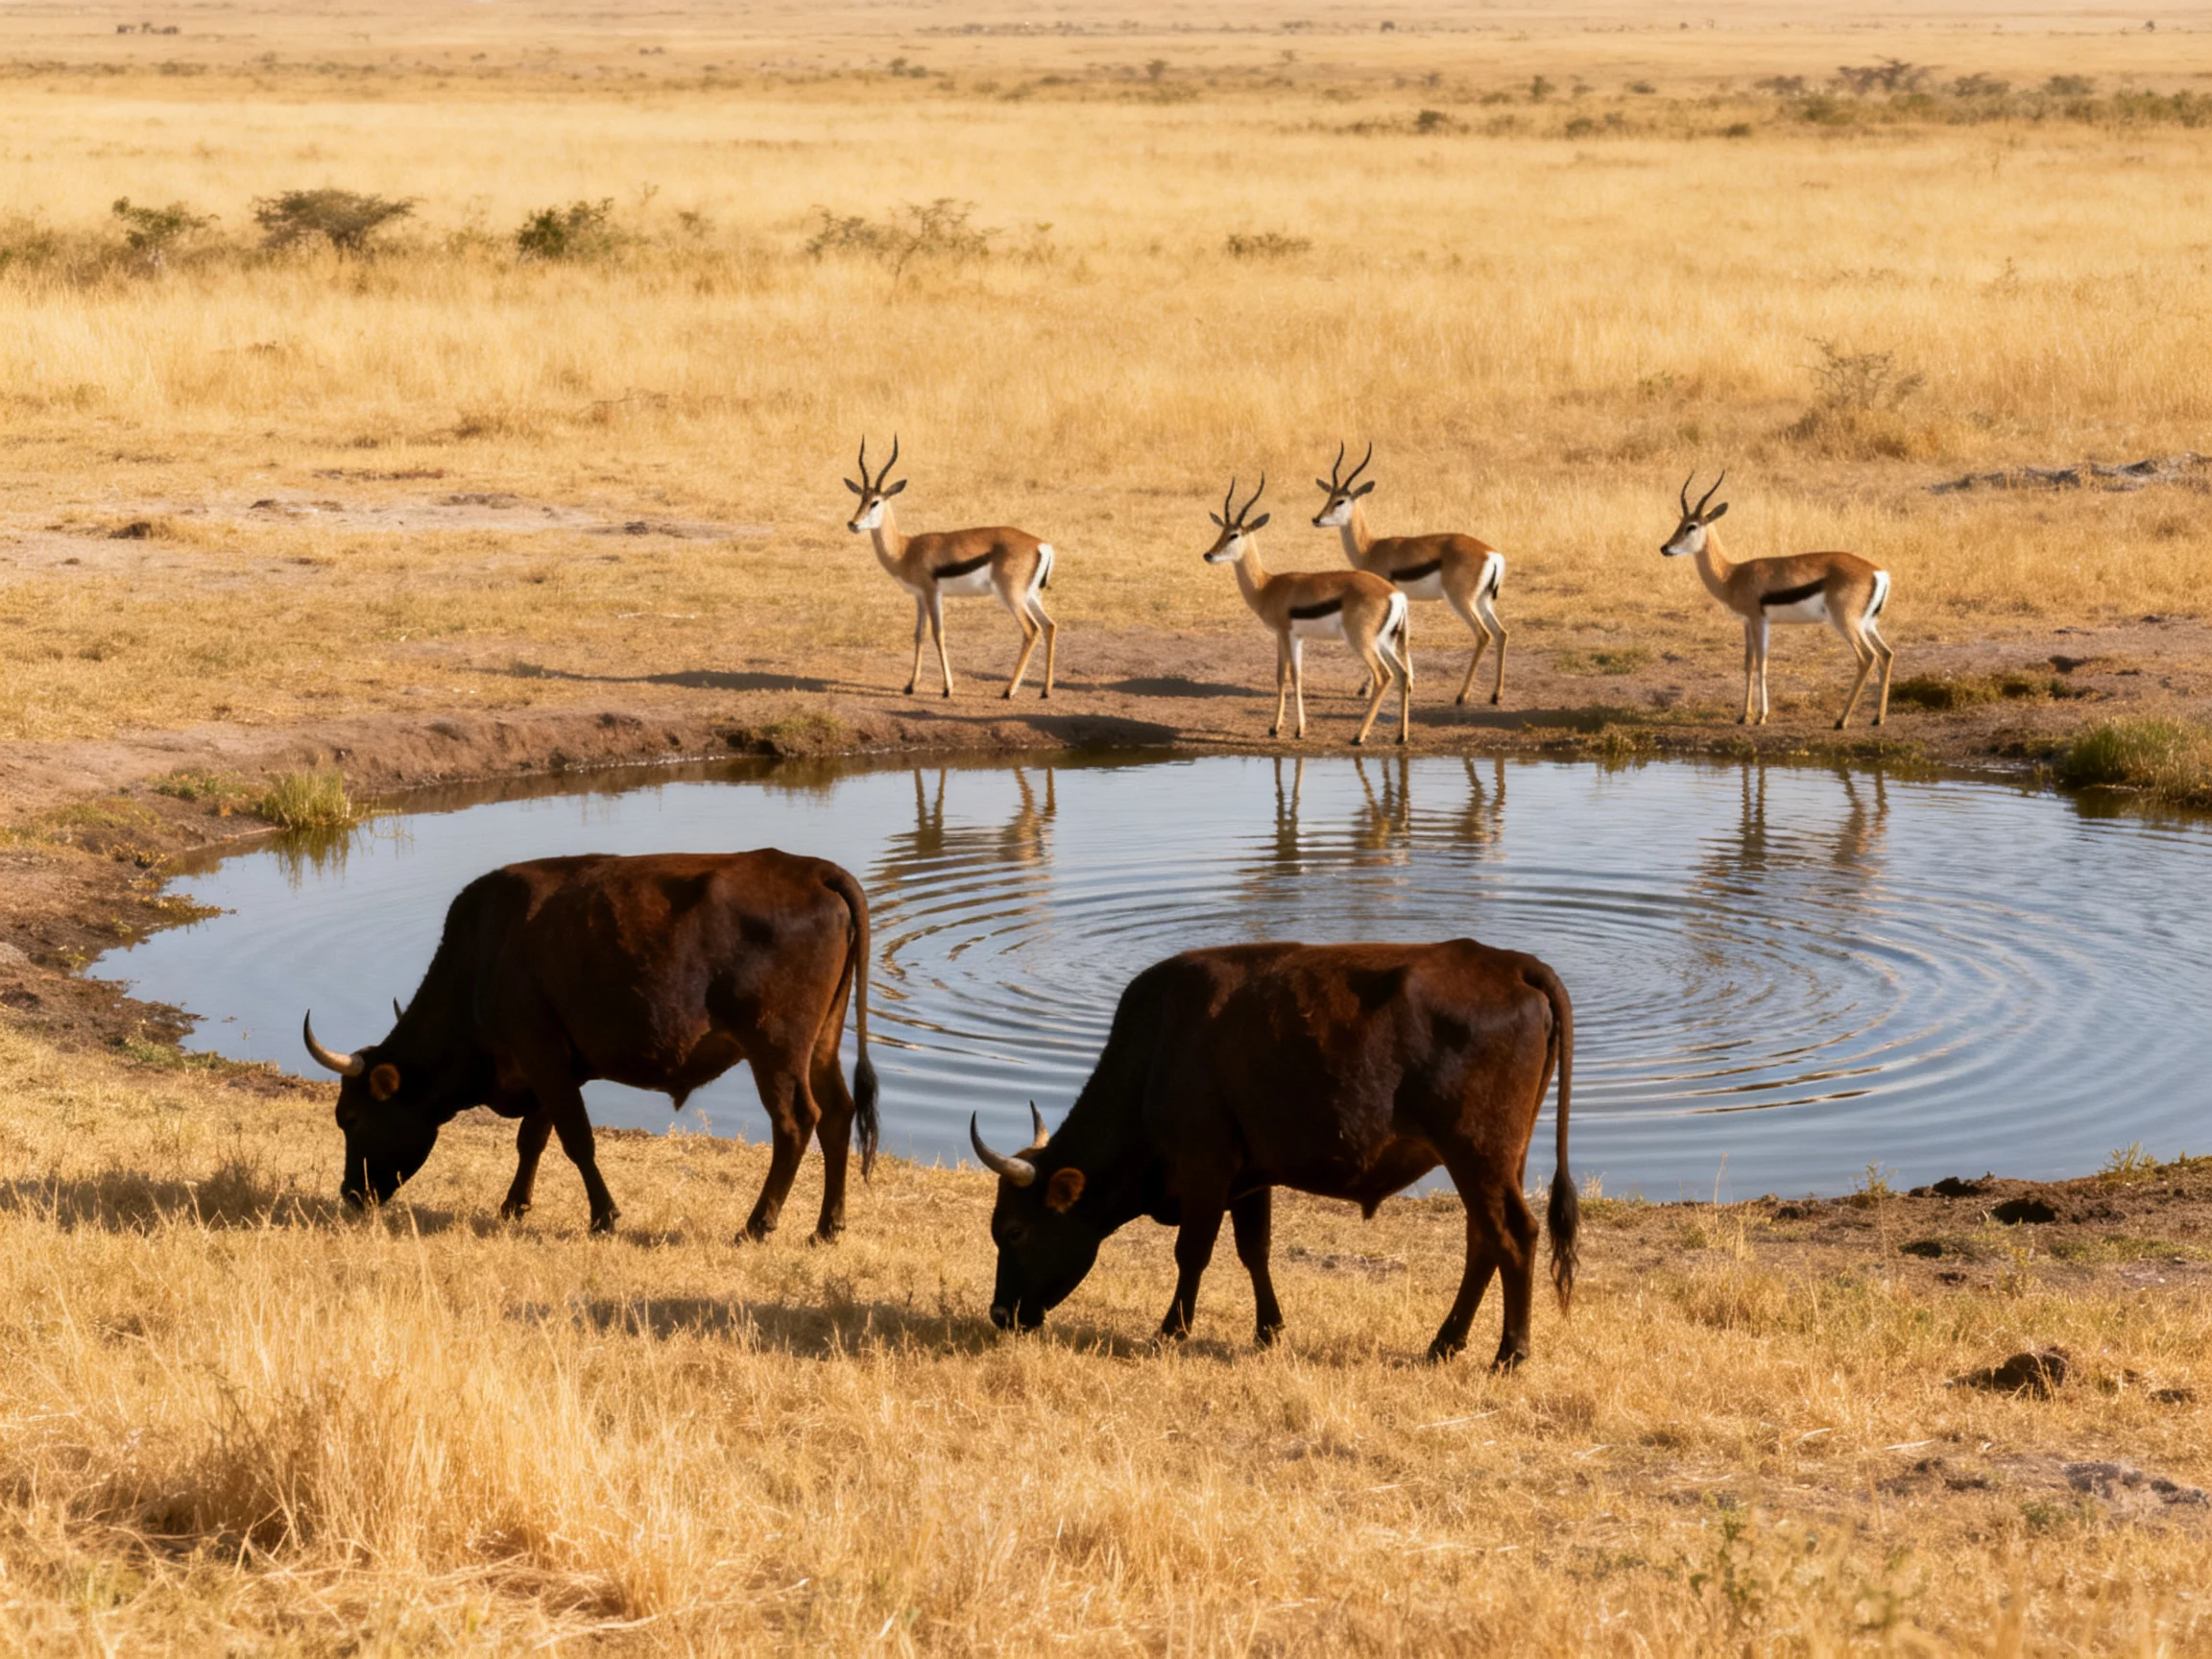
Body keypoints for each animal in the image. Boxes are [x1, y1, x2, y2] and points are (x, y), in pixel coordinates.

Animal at [301, 849, 878, 1244]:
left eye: (349, 1118)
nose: (350, 1193)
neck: (485, 952)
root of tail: (814, 871)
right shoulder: (548, 1066)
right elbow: (534, 1139)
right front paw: (515, 1205)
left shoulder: (542, 1053)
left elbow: (577, 1139)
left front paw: (604, 1216)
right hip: (821, 1043)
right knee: (838, 1115)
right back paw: (828, 1226)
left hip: (776, 1049)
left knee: (796, 1123)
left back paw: (757, 1225)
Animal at [968, 939, 1576, 1367]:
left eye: (1015, 1230)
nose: (1000, 1313)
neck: (1160, 1048)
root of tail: (1508, 964)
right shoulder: (1250, 1178)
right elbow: (1253, 1251)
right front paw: (1269, 1331)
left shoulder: (1205, 1168)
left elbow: (1193, 1253)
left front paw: (1170, 1332)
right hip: (1498, 1162)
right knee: (1483, 1243)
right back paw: (1445, 1344)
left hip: (1477, 1156)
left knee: (1513, 1237)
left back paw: (1509, 1354)